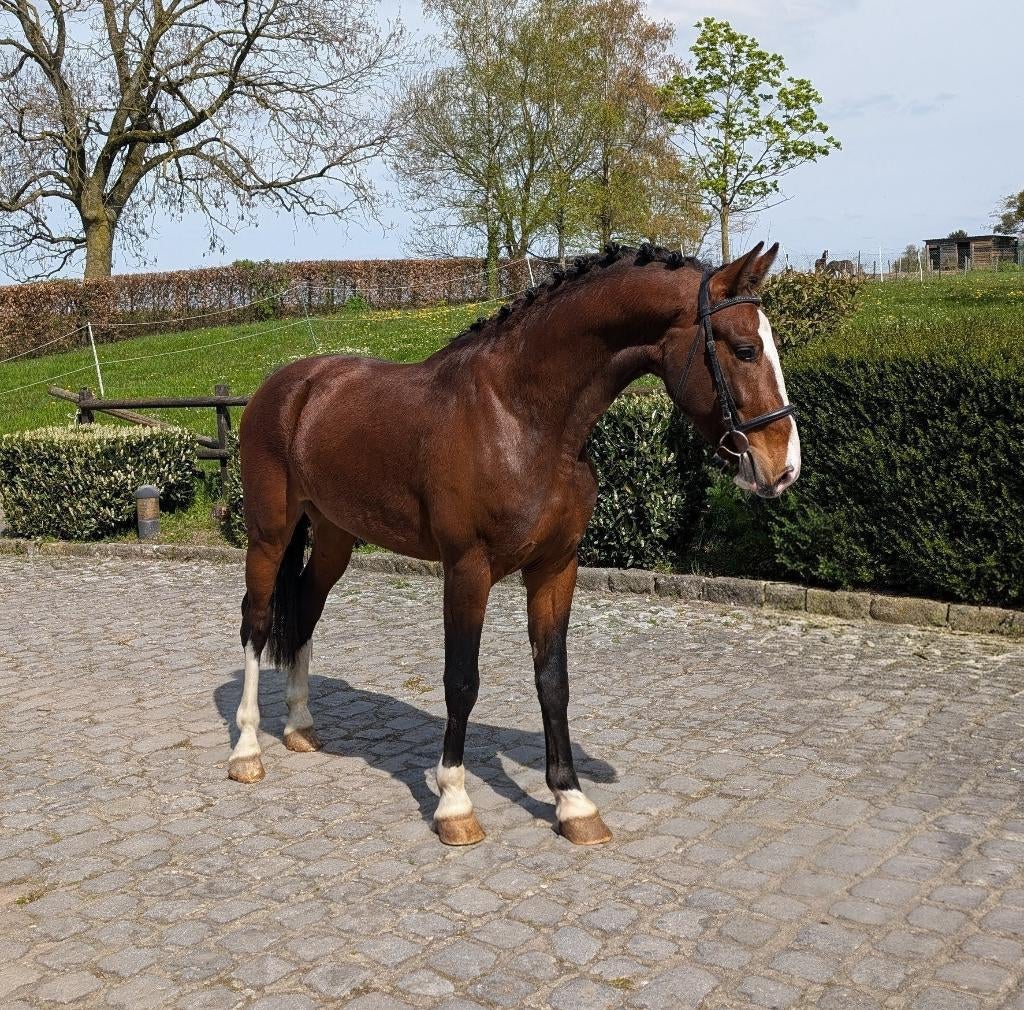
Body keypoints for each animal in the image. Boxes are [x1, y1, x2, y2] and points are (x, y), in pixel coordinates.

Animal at [230, 241, 801, 847]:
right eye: (744, 349)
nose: (784, 468)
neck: (520, 416)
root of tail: (290, 385)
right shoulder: (467, 569)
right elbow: (461, 681)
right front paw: (454, 805)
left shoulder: (555, 567)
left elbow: (553, 681)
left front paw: (573, 803)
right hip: (268, 535)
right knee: (257, 623)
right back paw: (246, 751)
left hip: (335, 536)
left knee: (305, 608)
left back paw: (299, 726)